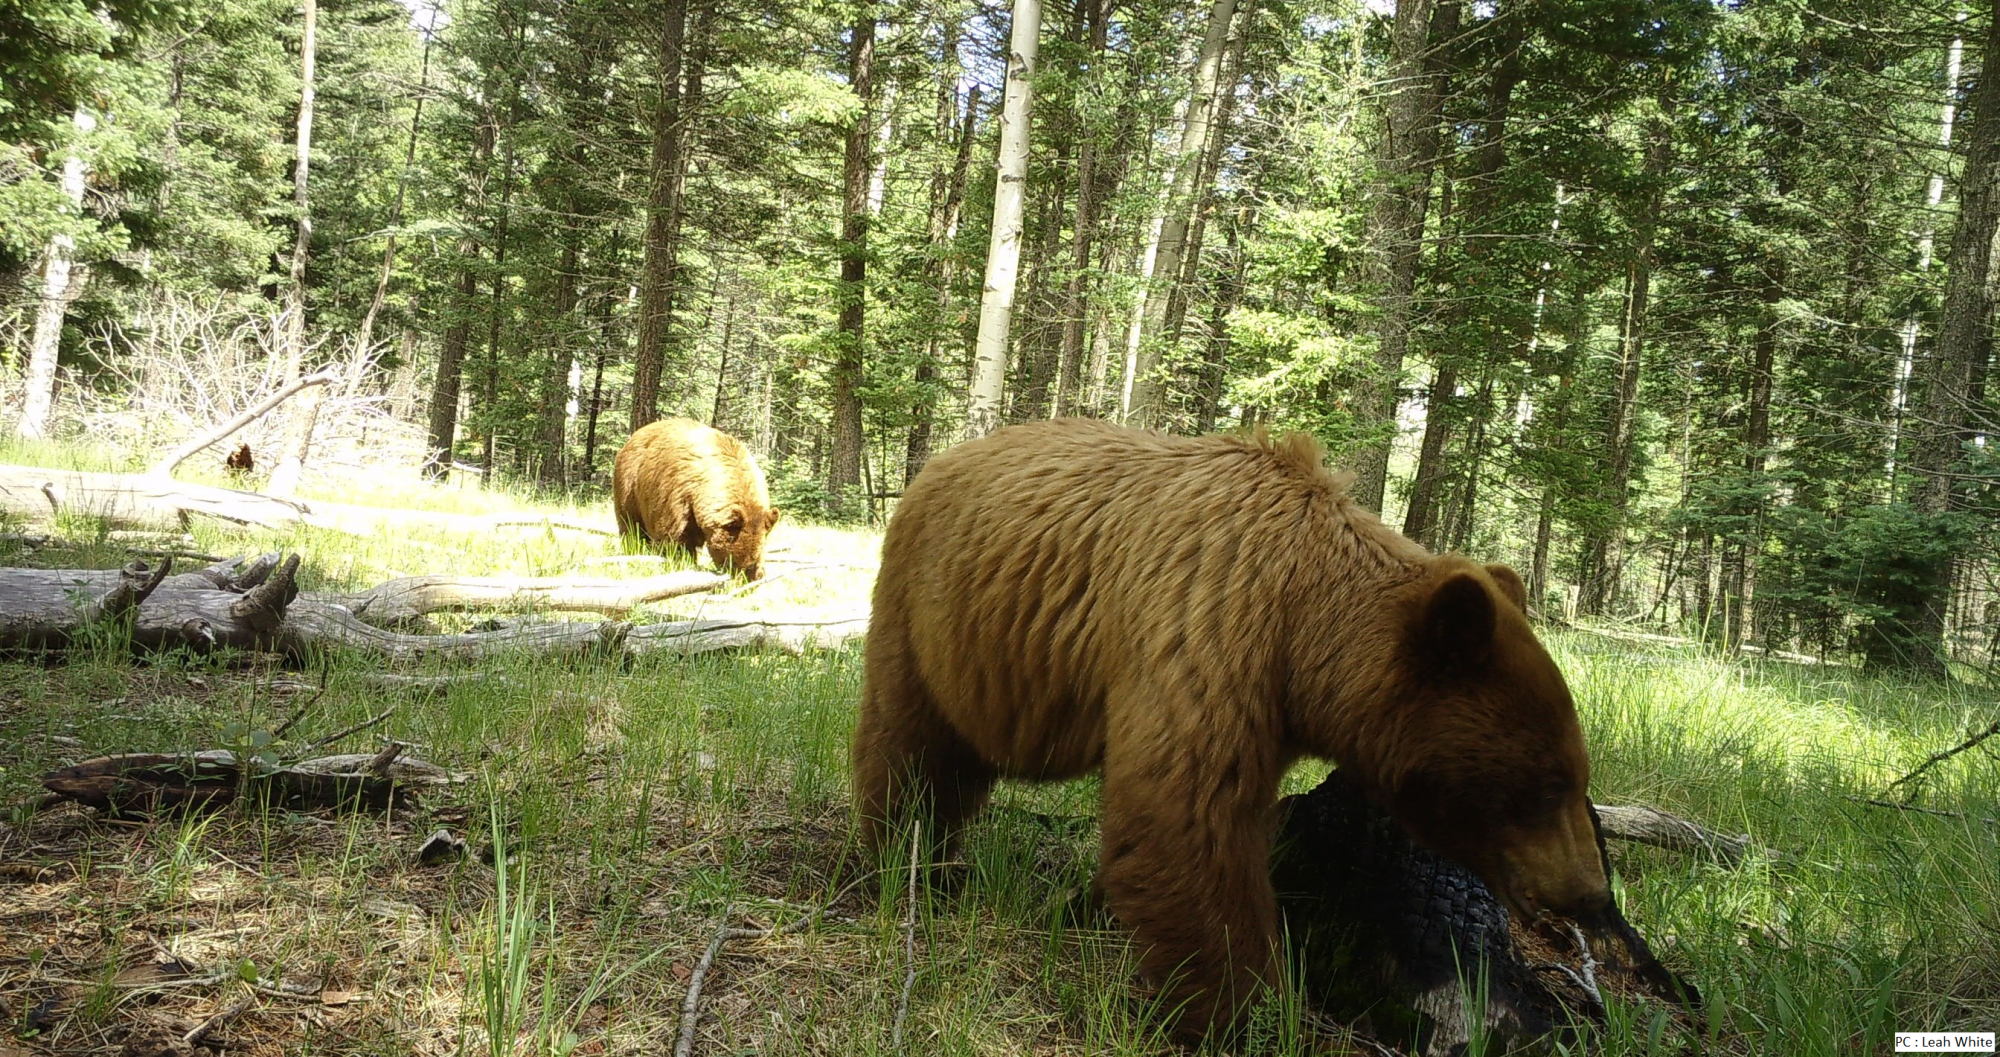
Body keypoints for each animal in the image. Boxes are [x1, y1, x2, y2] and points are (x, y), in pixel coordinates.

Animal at [616, 414, 780, 576]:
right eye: (733, 561)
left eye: (750, 561)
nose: (741, 576)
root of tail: (636, 434)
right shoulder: (676, 498)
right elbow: (675, 538)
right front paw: (683, 562)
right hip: (630, 487)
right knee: (630, 526)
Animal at [852, 416, 1616, 1032]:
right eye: (1547, 785)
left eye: (1580, 777)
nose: (1590, 894)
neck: (1306, 624)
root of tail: (941, 461)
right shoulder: (1212, 621)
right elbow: (1188, 814)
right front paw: (1248, 1006)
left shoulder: (1270, 704)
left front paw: (1097, 905)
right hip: (930, 611)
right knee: (912, 745)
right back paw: (910, 861)